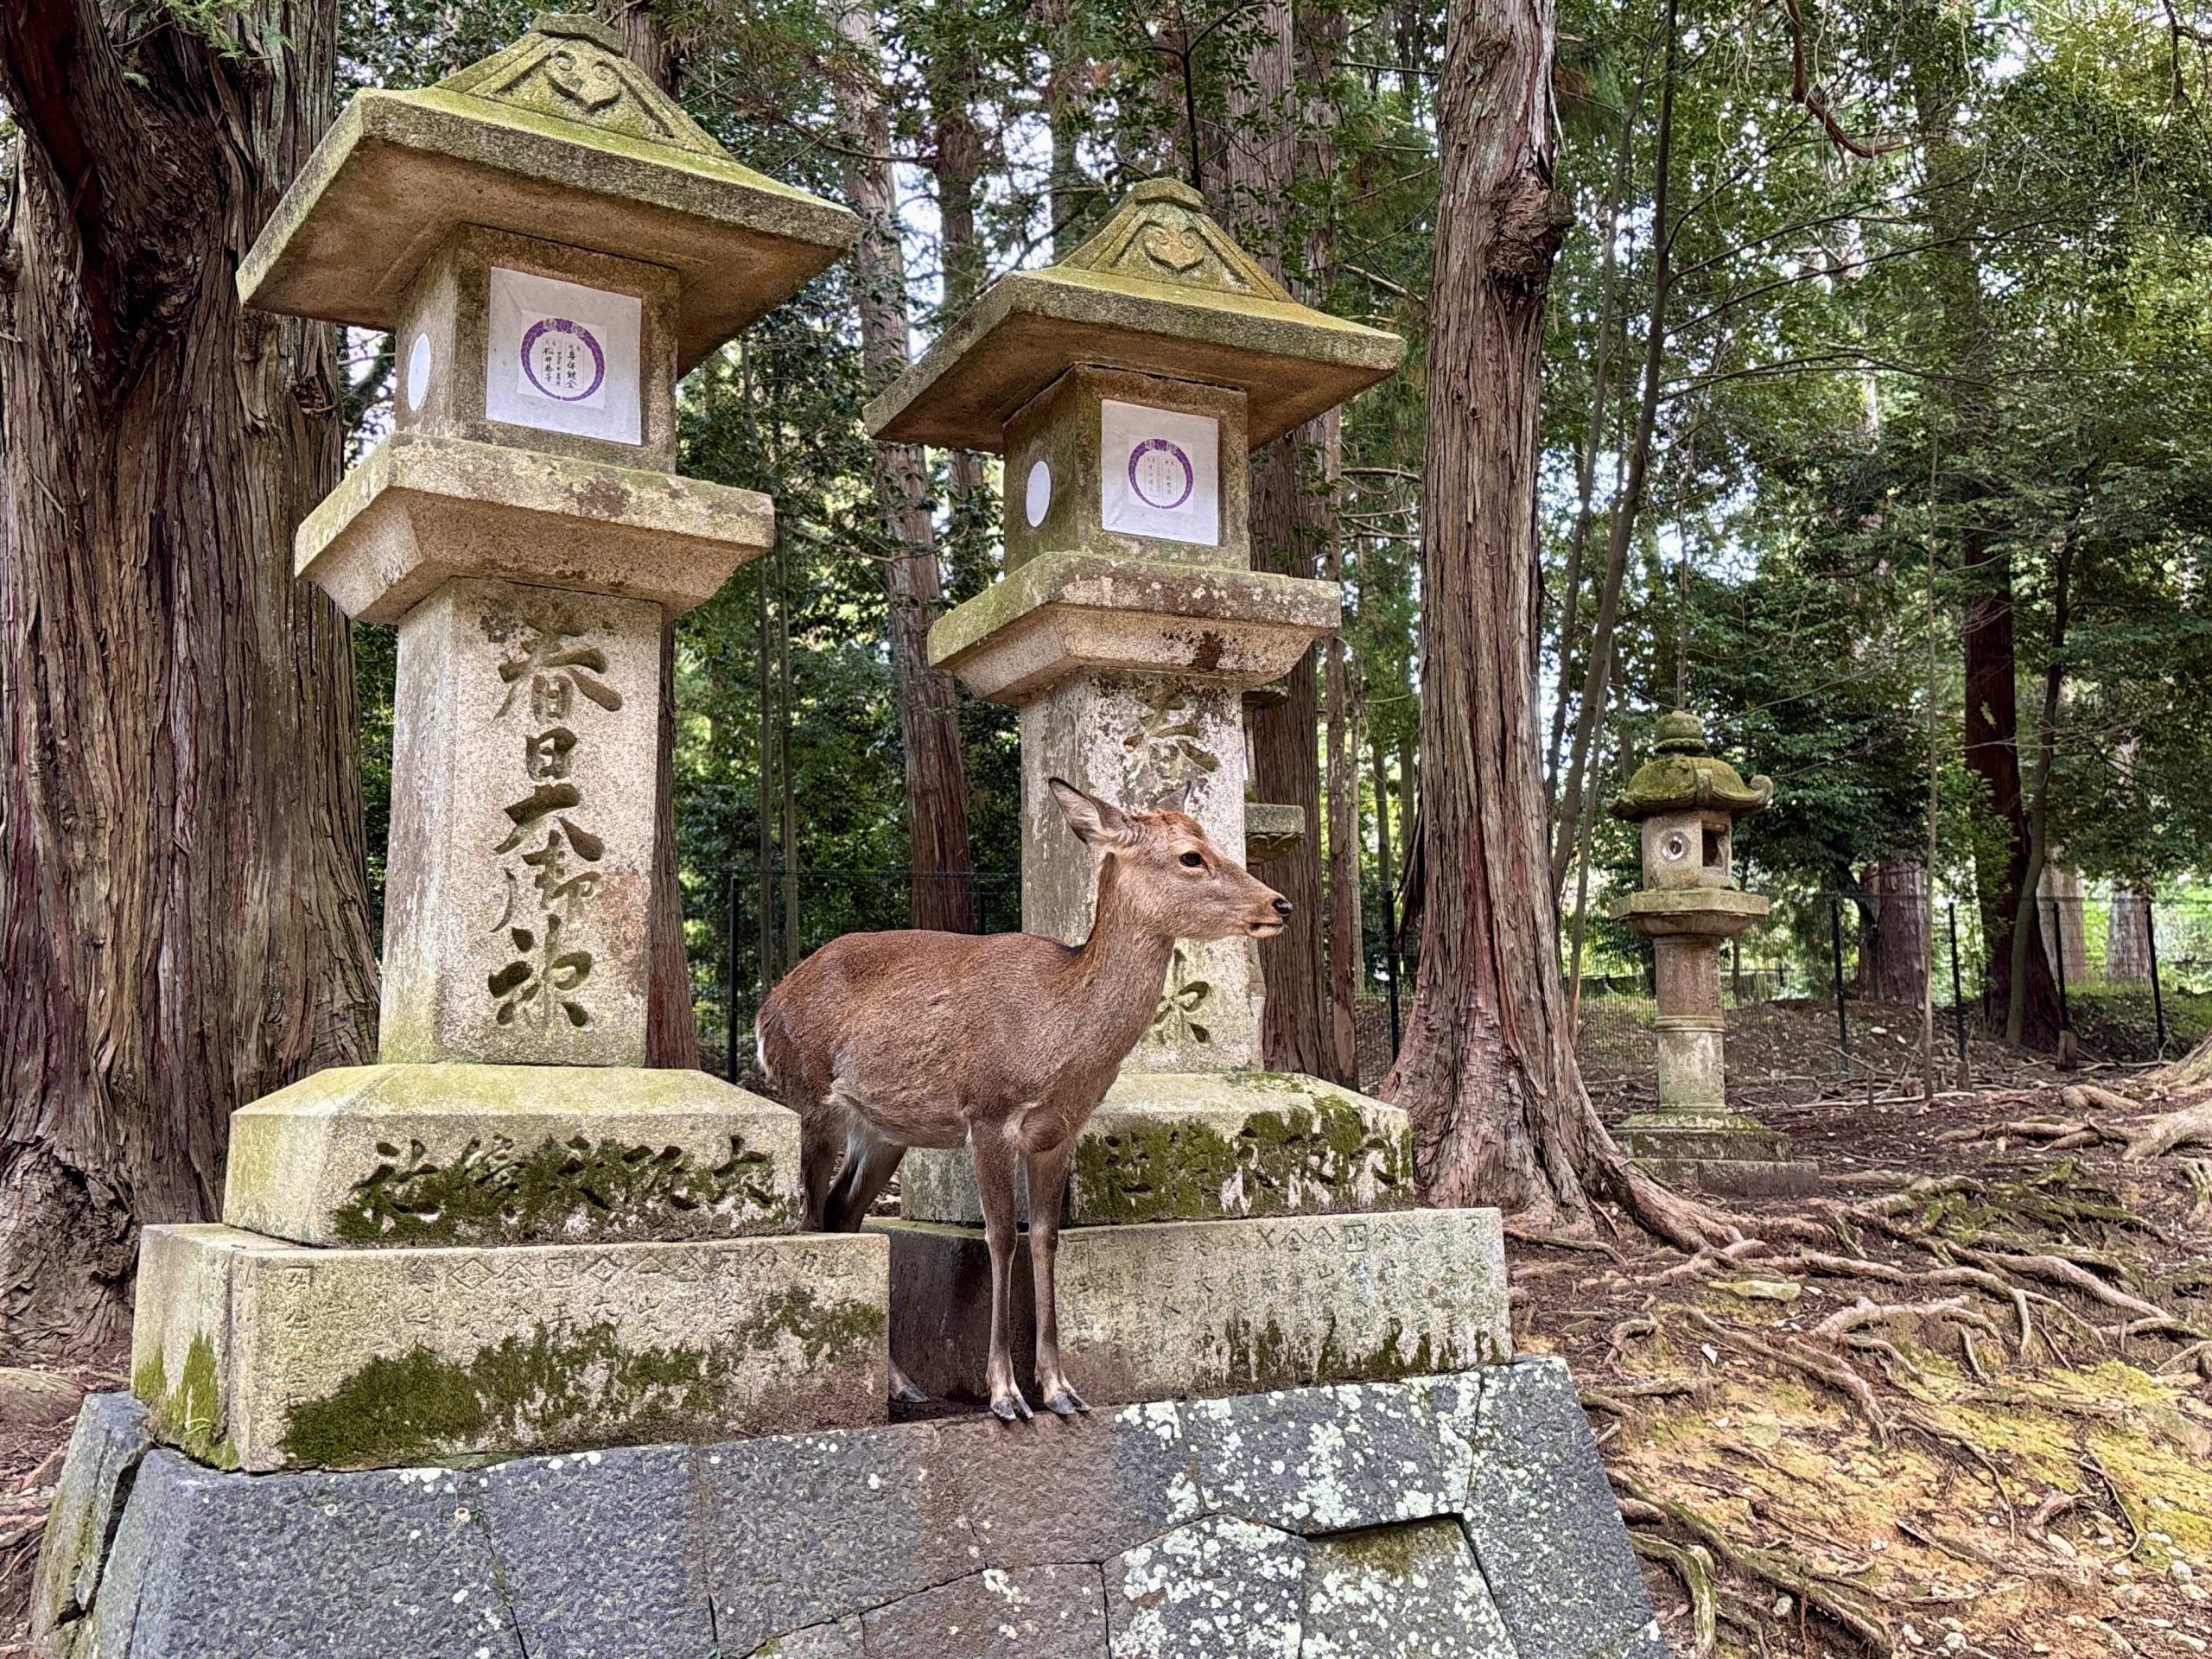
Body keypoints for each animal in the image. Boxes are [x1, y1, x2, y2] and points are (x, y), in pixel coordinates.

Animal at [756, 777, 1291, 1422]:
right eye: (1192, 856)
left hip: (885, 1131)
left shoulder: (1060, 1130)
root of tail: (764, 1010)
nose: (1280, 905)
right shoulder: (988, 1112)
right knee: (814, 1218)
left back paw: (903, 1384)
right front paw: (1006, 1396)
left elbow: (1045, 1238)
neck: (1060, 1038)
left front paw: (1061, 1389)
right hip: (809, 1100)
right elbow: (1001, 1238)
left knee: (842, 1214)